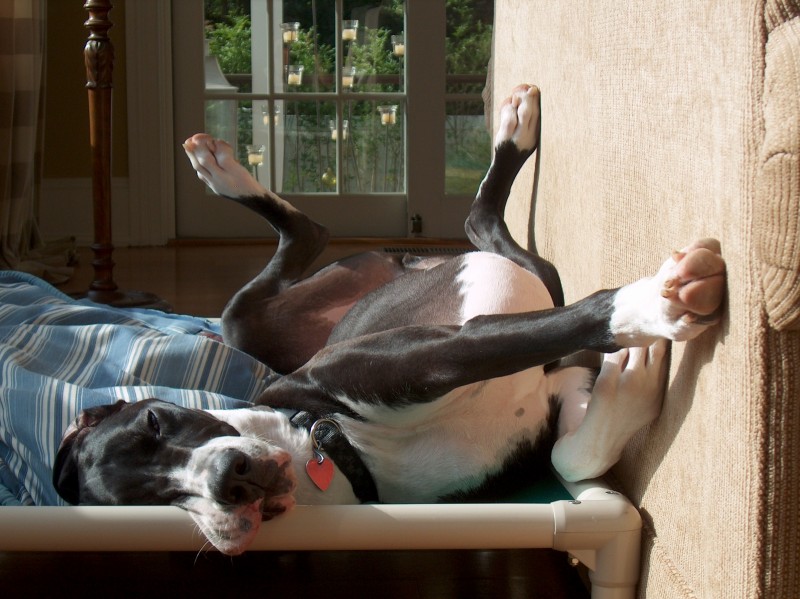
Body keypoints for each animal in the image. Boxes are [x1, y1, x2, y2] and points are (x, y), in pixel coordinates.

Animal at [50, 85, 724, 556]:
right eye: (145, 502)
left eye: (156, 421)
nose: (230, 479)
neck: (335, 446)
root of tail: (403, 259)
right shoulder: (539, 392)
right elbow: (570, 455)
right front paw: (641, 358)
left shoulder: (434, 356)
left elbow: (564, 356)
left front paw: (651, 310)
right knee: (468, 227)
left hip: (245, 320)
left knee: (326, 229)